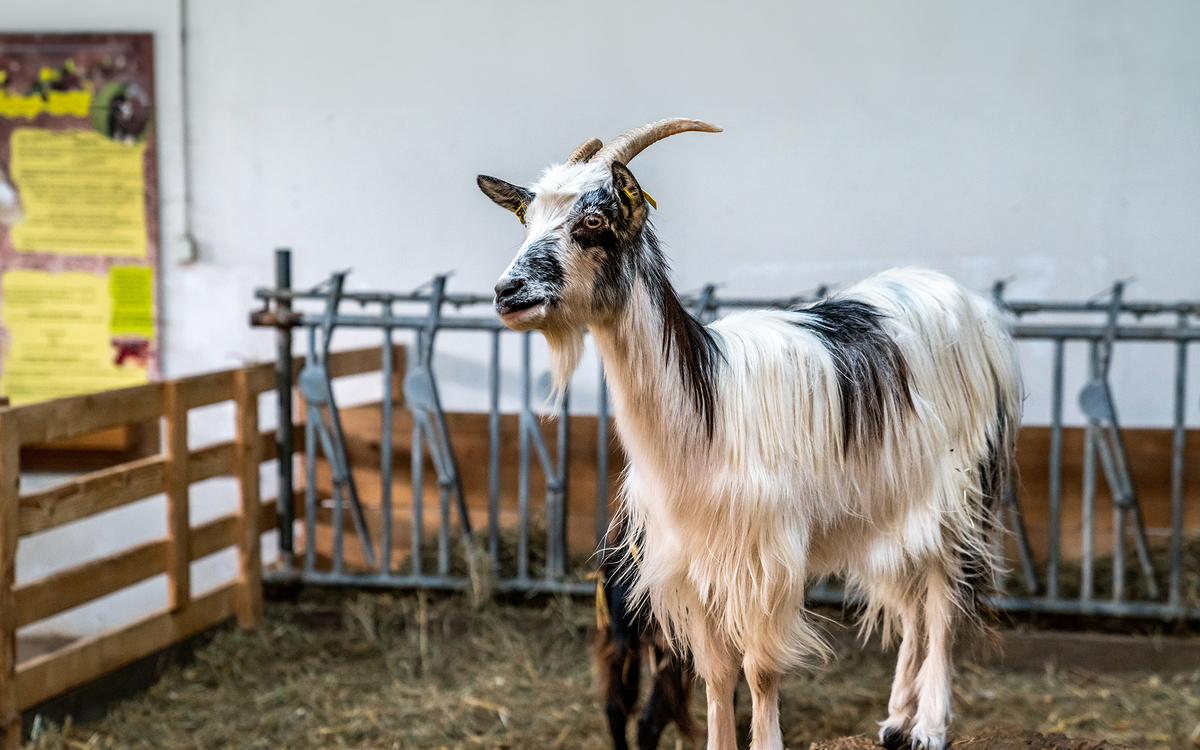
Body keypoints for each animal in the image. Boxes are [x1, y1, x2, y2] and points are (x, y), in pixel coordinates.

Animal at [478, 119, 1021, 750]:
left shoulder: (768, 558)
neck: (705, 412)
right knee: (911, 603)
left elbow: (760, 671)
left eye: (593, 220)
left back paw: (930, 726)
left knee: (942, 601)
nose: (508, 292)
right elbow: (716, 674)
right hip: (891, 506)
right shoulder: (691, 562)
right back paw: (895, 720)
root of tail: (969, 302)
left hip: (959, 492)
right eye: (528, 218)